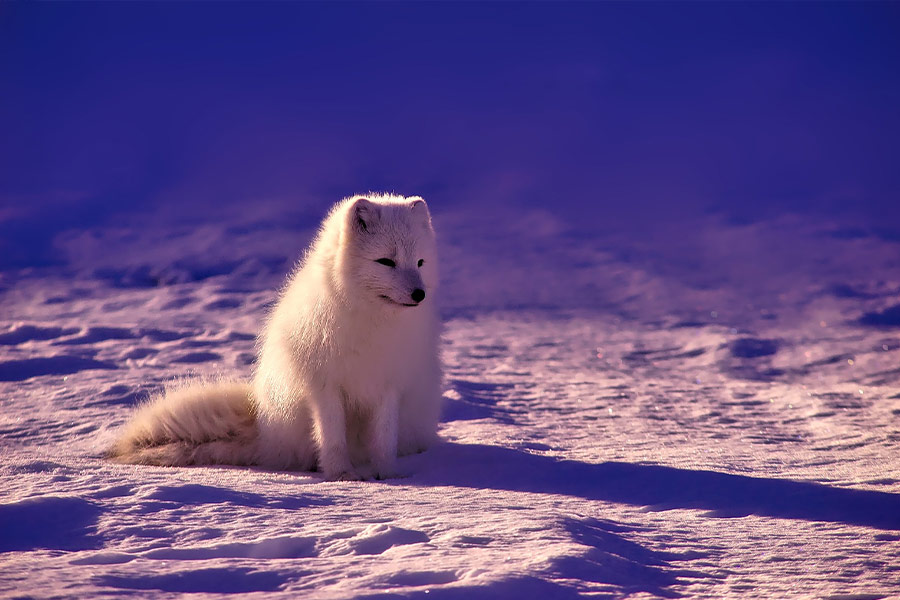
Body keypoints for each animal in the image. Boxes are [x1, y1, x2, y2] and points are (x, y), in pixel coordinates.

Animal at [108, 194, 443, 480]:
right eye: (386, 262)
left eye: (420, 262)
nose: (419, 294)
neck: (372, 323)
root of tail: (263, 429)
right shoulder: (324, 385)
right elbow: (332, 436)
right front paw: (341, 474)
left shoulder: (389, 385)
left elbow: (384, 438)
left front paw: (388, 474)